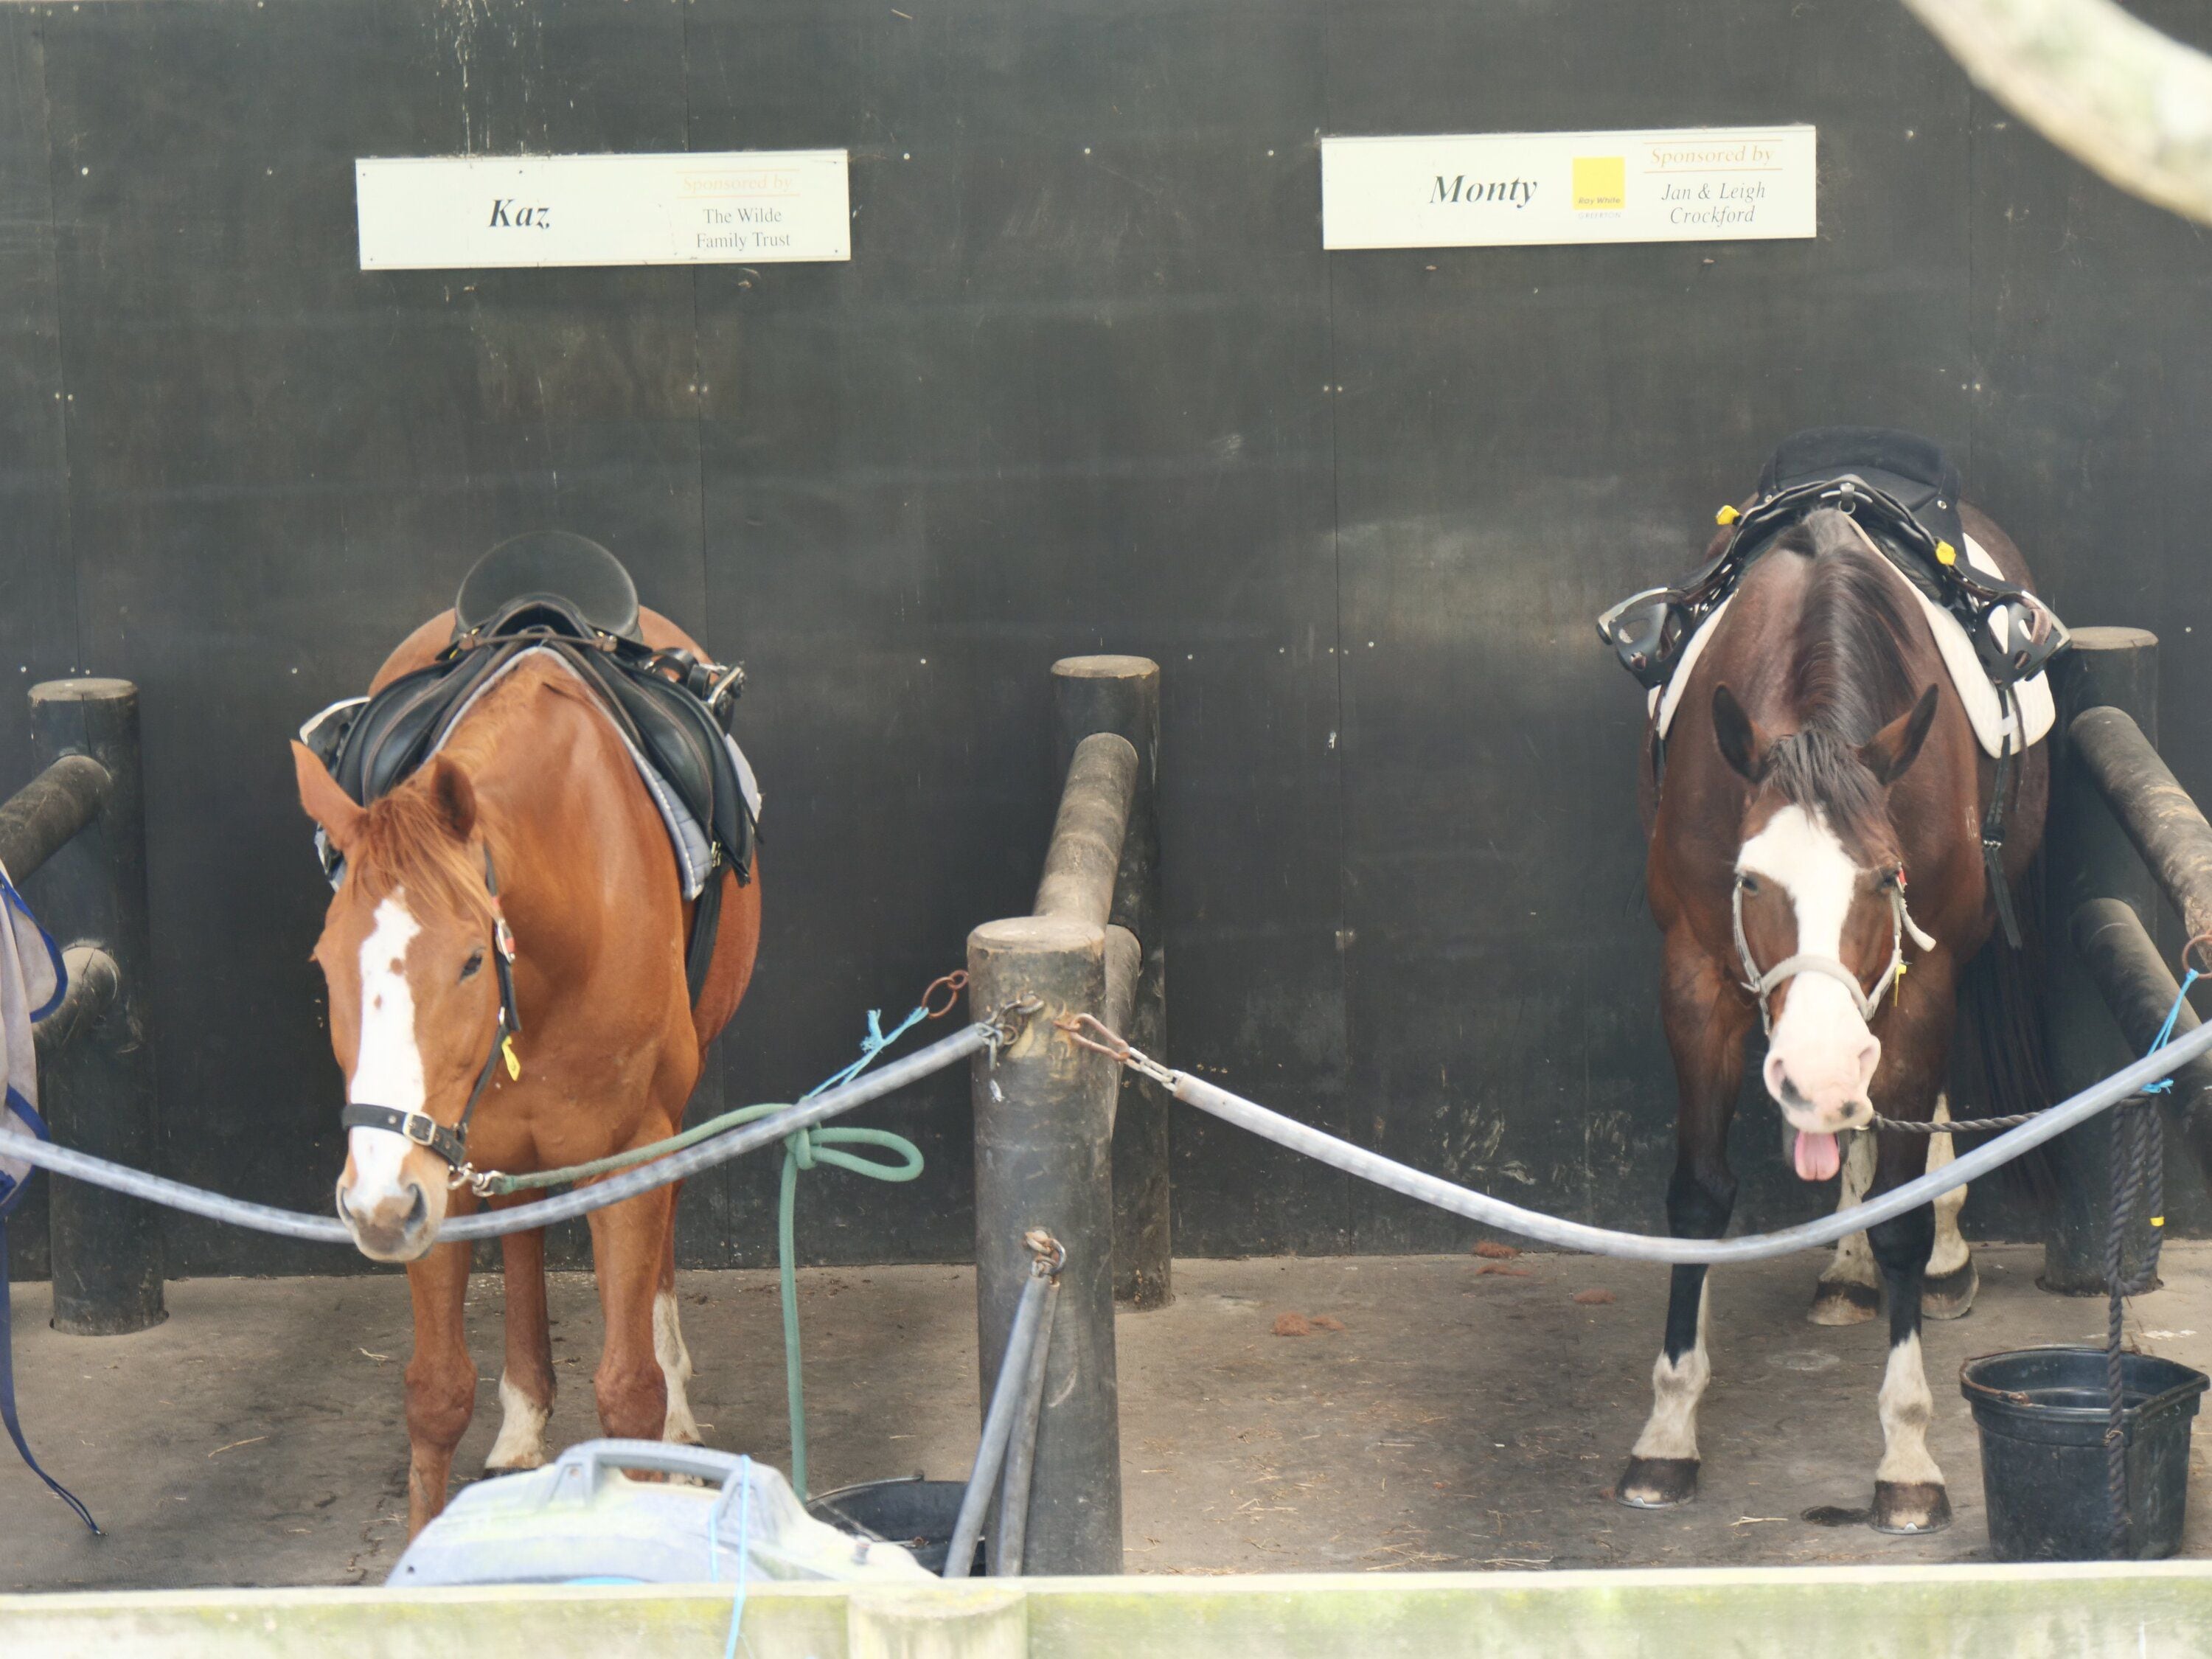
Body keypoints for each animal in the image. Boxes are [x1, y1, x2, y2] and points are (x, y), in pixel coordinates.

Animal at [290, 606, 757, 1531]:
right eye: (326, 964)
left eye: (473, 960)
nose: (373, 1206)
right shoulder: (433, 1167)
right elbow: (436, 1394)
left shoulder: (630, 1148)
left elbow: (629, 1390)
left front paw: (659, 1417)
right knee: (524, 1224)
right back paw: (522, 1420)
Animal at [1619, 504, 2044, 1531]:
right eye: (1748, 880)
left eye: (1885, 878)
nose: (1814, 1061)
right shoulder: (1694, 975)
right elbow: (1697, 1198)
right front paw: (1667, 1432)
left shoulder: (1923, 982)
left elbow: (1903, 1214)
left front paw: (1908, 1455)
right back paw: (1846, 1270)